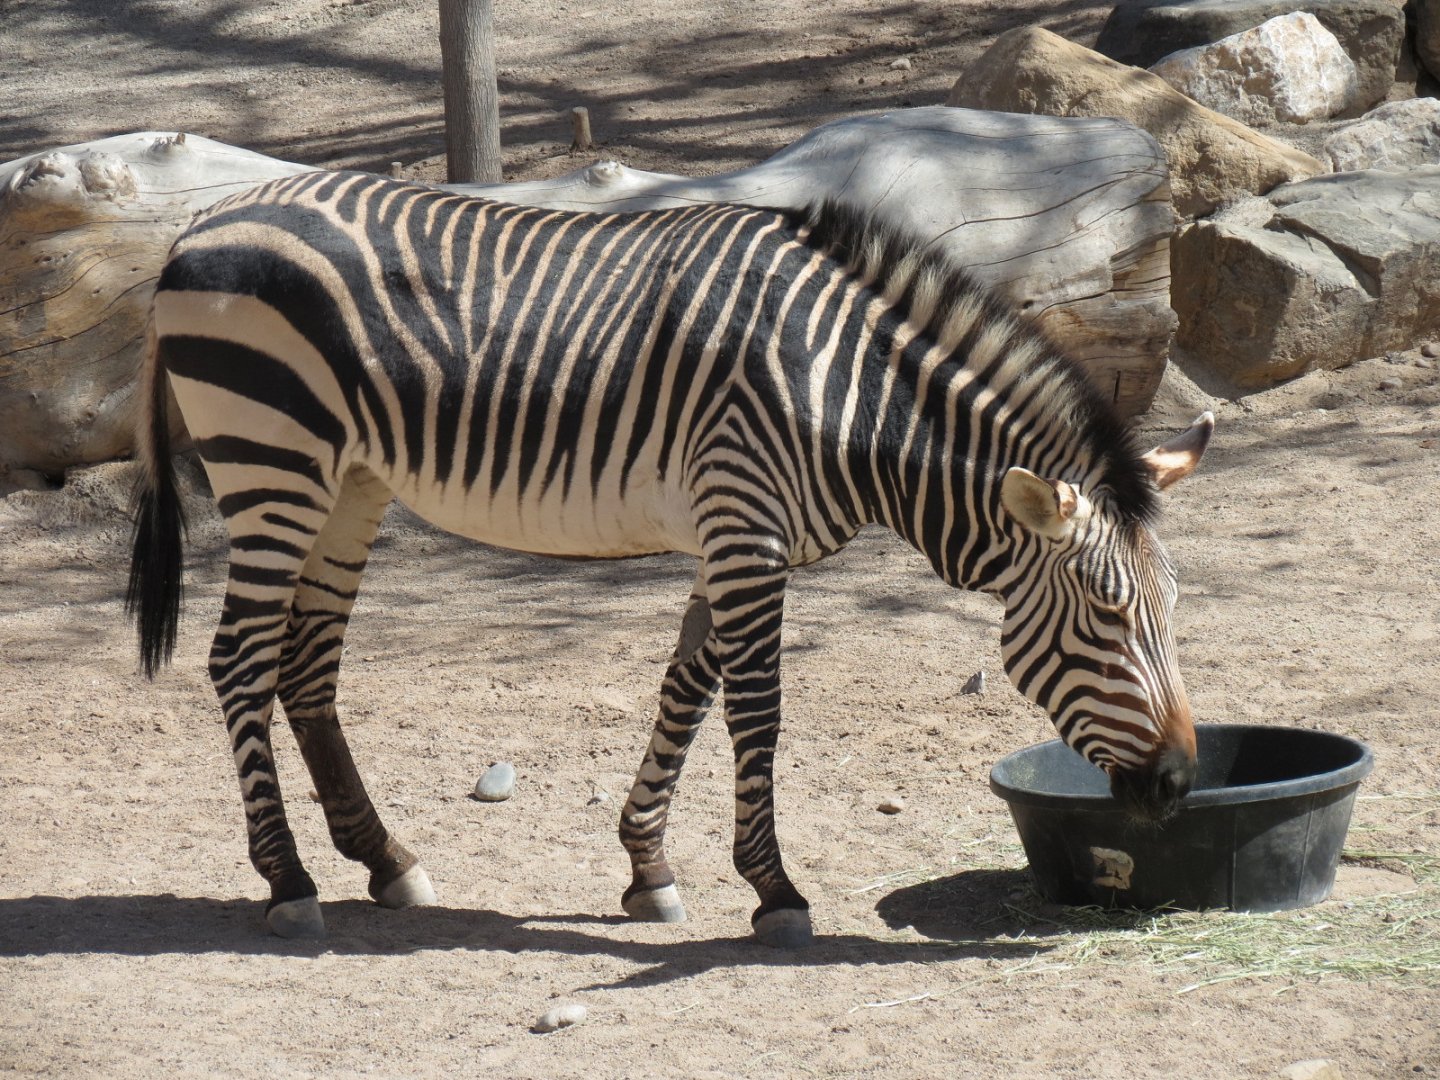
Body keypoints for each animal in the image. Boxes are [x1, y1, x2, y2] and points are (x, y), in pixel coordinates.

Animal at [127, 170, 1213, 947]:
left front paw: (649, 869)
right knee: (238, 664)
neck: (847, 394)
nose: (1175, 787)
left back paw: (385, 861)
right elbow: (756, 708)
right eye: (1107, 617)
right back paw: (288, 880)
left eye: (1173, 613)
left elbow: (686, 687)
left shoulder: (731, 533)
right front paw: (776, 891)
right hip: (274, 462)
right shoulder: (746, 525)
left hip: (348, 482)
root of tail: (198, 224)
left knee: (306, 667)